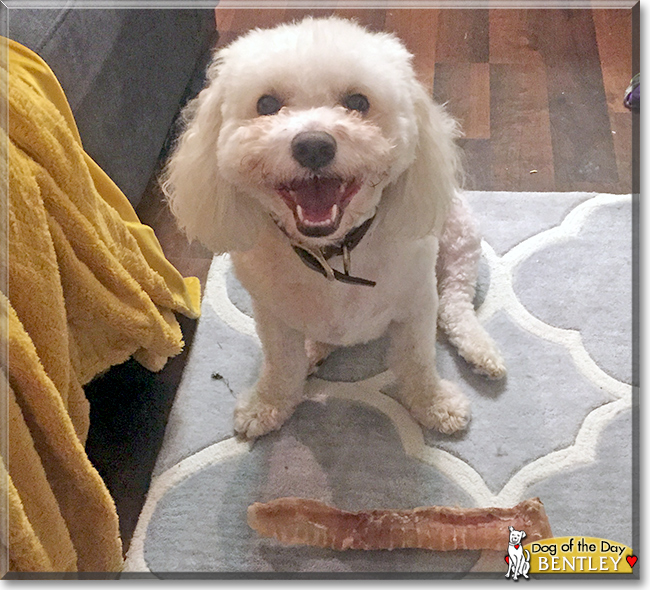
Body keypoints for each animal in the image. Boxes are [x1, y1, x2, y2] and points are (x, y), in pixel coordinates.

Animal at [165, 17, 504, 440]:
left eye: (357, 102)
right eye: (266, 105)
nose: (313, 145)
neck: (334, 252)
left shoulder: (416, 306)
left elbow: (417, 360)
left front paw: (435, 404)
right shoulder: (271, 317)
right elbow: (281, 364)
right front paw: (269, 404)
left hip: (460, 237)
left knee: (456, 302)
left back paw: (480, 350)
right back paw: (315, 349)